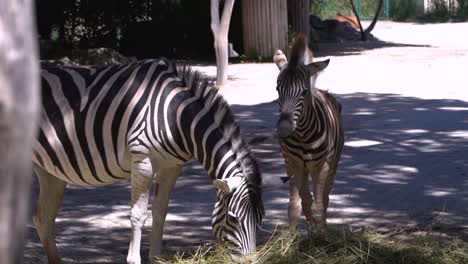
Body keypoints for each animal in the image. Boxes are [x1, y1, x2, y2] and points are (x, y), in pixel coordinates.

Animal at [33, 58, 264, 264]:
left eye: (260, 219)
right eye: (233, 218)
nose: (249, 261)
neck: (176, 116)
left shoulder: (172, 167)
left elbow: (160, 211)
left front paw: (156, 257)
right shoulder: (142, 160)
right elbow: (138, 214)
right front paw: (134, 259)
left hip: (49, 171)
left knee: (42, 218)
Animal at [270, 34, 344, 234]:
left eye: (303, 91)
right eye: (278, 89)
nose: (283, 129)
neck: (303, 135)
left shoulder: (322, 166)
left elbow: (320, 206)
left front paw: (322, 236)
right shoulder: (292, 163)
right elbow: (294, 206)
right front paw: (290, 238)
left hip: (332, 165)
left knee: (324, 198)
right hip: (302, 168)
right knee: (306, 198)